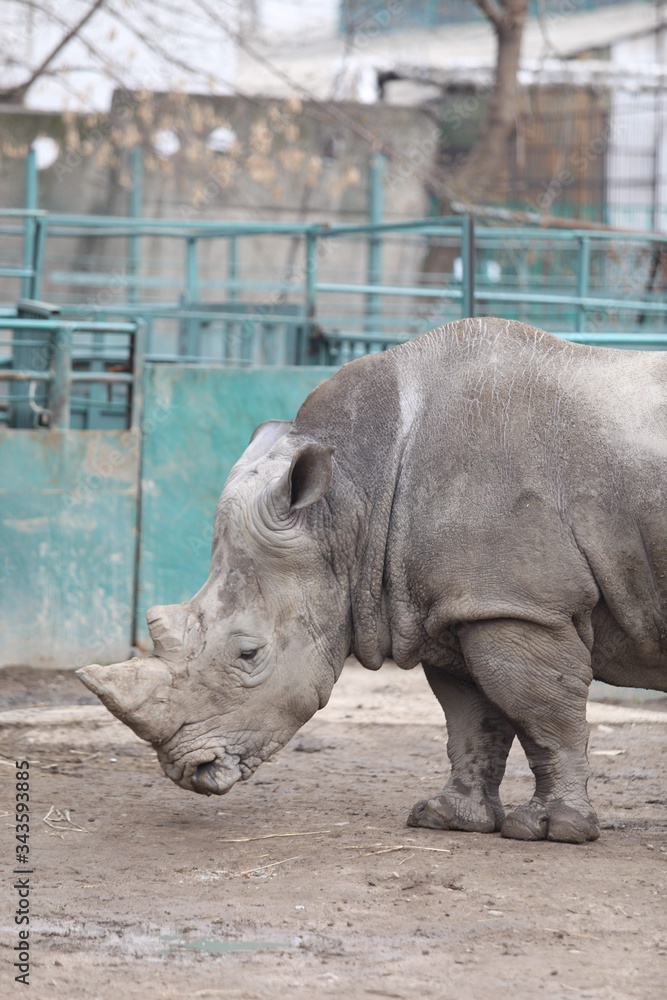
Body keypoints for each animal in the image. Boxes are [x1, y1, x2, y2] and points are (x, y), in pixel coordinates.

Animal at [77, 319, 667, 843]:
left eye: (248, 654)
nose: (188, 771)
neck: (352, 497)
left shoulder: (518, 604)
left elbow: (545, 715)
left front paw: (551, 830)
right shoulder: (456, 605)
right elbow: (472, 720)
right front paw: (447, 819)